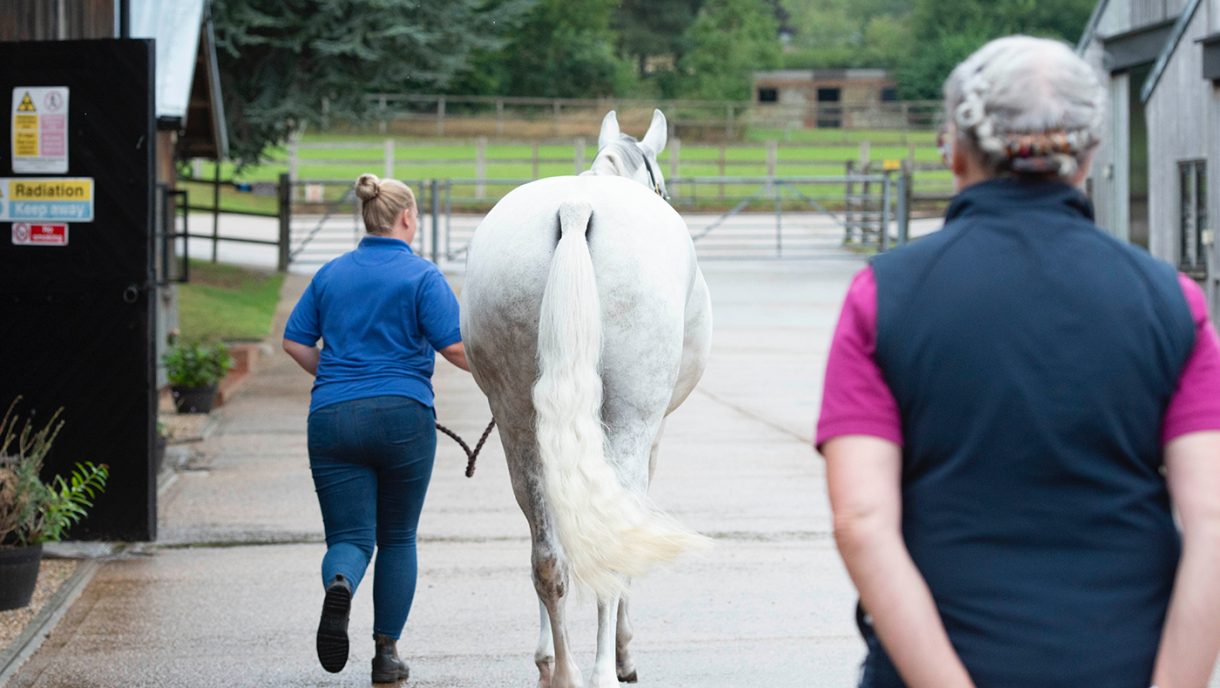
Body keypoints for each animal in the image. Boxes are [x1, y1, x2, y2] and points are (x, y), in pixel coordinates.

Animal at [460, 109, 713, 688]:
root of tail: (575, 211)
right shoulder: (652, 438)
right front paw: (624, 652)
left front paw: (545, 658)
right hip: (627, 428)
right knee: (608, 545)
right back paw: (601, 671)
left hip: (518, 425)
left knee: (547, 555)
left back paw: (565, 672)